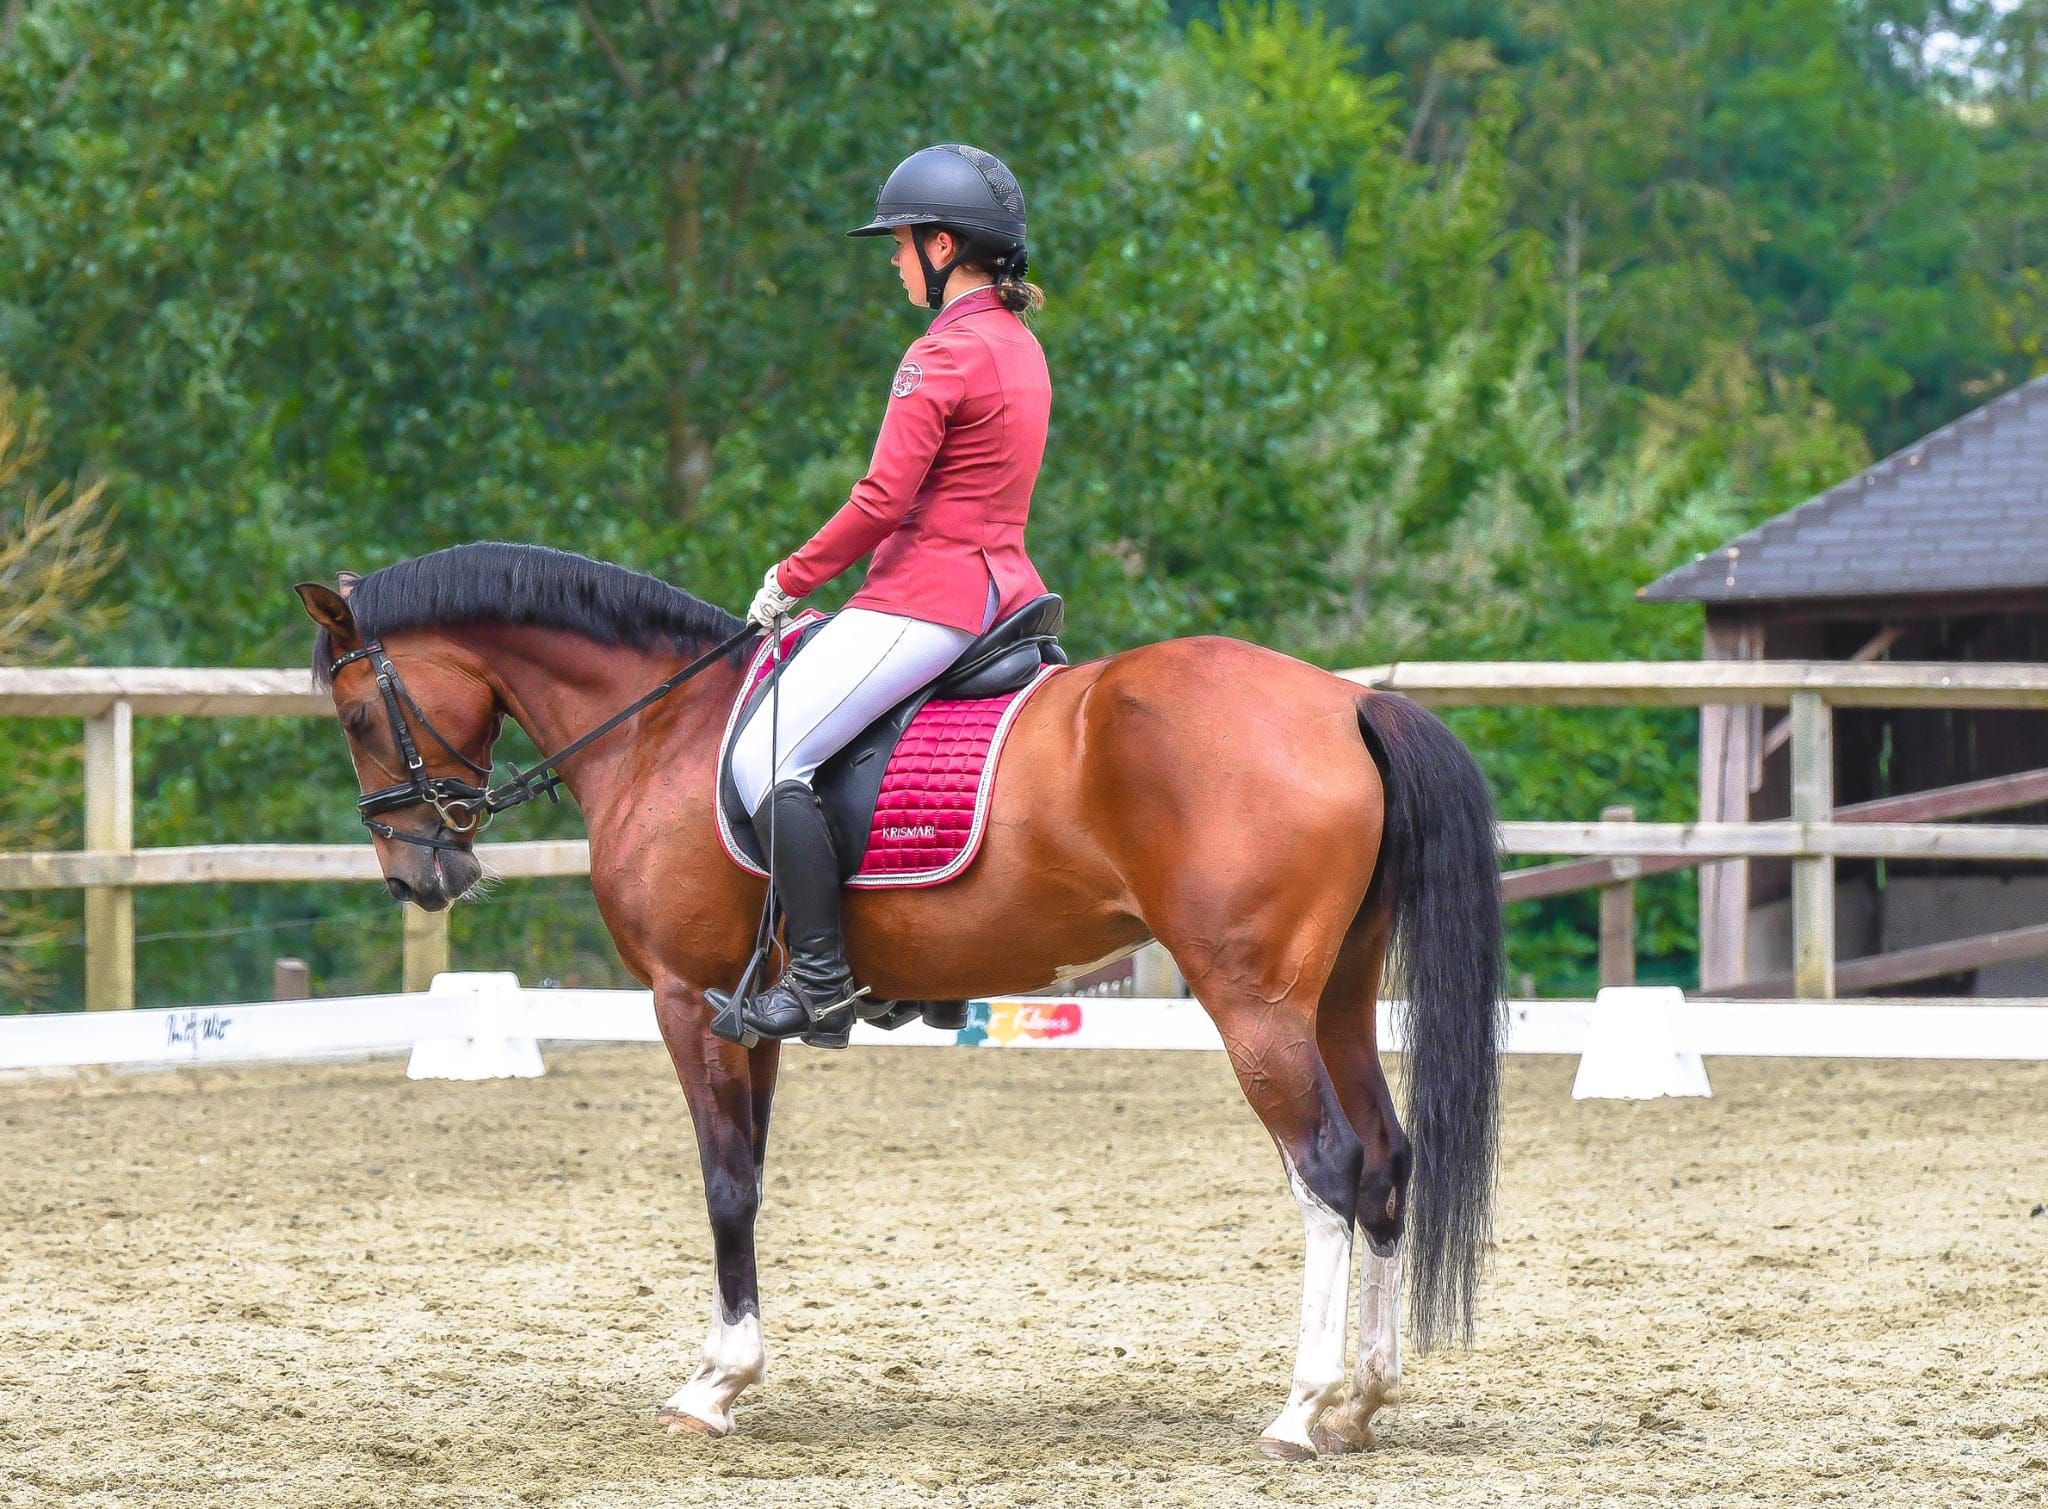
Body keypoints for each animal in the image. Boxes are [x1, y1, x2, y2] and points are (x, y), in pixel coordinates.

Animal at [294, 541, 1504, 1460]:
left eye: (355, 715)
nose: (421, 877)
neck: (657, 729)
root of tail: (1348, 700)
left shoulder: (685, 999)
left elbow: (724, 1183)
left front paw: (714, 1385)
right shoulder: (753, 1016)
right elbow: (750, 1178)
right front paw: (732, 1371)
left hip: (1252, 1003)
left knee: (1328, 1171)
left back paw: (1299, 1411)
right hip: (1335, 998)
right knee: (1386, 1160)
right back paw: (1362, 1403)